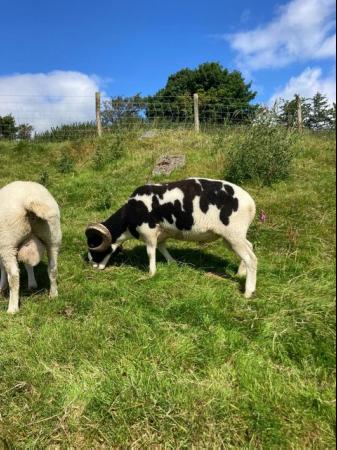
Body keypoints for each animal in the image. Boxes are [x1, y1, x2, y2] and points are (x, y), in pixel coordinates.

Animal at [0, 179, 61, 312]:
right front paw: (32, 284)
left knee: (14, 276)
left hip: (7, 242)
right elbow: (28, 264)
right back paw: (53, 294)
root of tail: (30, 200)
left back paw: (12, 309)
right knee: (53, 268)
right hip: (53, 236)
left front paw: (1, 287)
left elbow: (2, 268)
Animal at [85, 178, 256, 298]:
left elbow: (151, 252)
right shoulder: (161, 234)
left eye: (93, 243)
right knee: (249, 247)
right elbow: (162, 248)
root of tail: (251, 204)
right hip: (234, 237)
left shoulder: (149, 232)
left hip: (233, 235)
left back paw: (248, 291)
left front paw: (151, 274)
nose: (92, 266)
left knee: (251, 259)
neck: (129, 216)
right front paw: (173, 263)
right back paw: (240, 274)